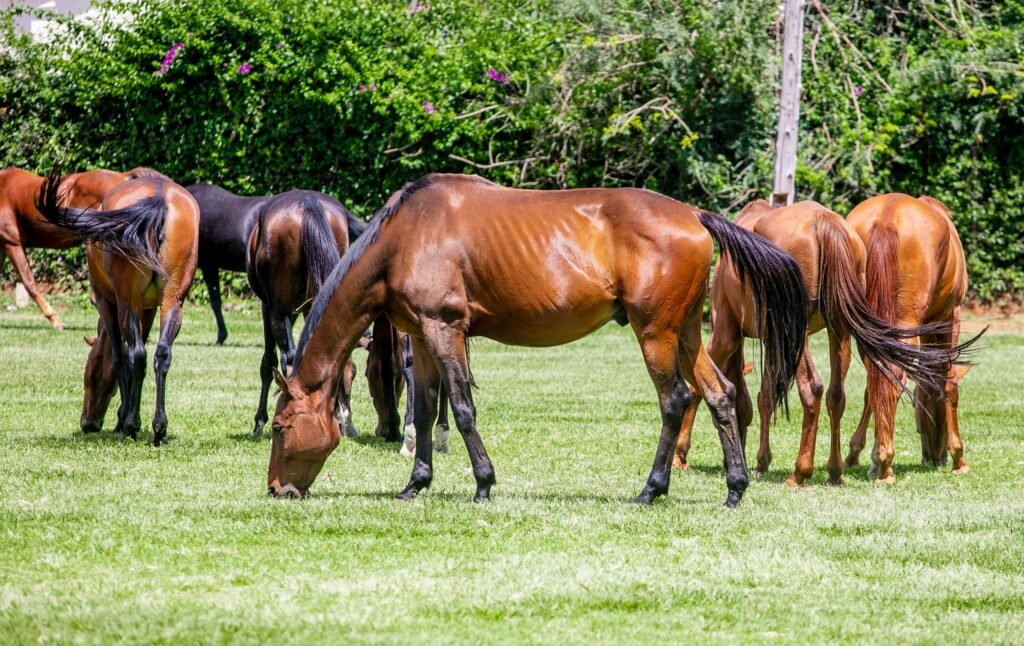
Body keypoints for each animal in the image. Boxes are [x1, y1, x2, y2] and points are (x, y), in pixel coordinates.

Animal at [36, 170, 200, 446]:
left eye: (89, 375)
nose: (88, 423)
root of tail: (160, 196)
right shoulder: (148, 308)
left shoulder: (106, 302)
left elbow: (118, 358)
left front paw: (123, 419)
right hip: (172, 301)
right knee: (161, 354)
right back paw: (159, 428)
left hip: (126, 302)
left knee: (136, 354)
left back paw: (131, 426)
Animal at [265, 174, 810, 507]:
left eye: (279, 425)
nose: (276, 489)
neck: (407, 235)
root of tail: (695, 216)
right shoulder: (421, 337)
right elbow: (423, 409)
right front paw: (414, 485)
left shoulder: (445, 330)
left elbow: (461, 408)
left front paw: (483, 485)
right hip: (686, 334)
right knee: (719, 394)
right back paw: (735, 488)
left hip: (655, 333)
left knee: (676, 398)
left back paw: (651, 490)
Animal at [672, 200, 967, 486]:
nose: (935, 457)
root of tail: (825, 222)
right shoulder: (768, 341)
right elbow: (764, 395)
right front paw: (760, 460)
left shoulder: (725, 334)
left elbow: (703, 386)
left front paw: (680, 454)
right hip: (840, 328)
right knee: (839, 393)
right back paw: (839, 470)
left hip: (800, 333)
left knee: (813, 388)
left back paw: (801, 472)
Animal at [842, 194, 979, 482]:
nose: (934, 458)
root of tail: (887, 217)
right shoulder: (950, 317)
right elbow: (949, 383)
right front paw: (959, 457)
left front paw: (861, 455)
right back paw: (886, 465)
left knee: (879, 378)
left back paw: (880, 460)